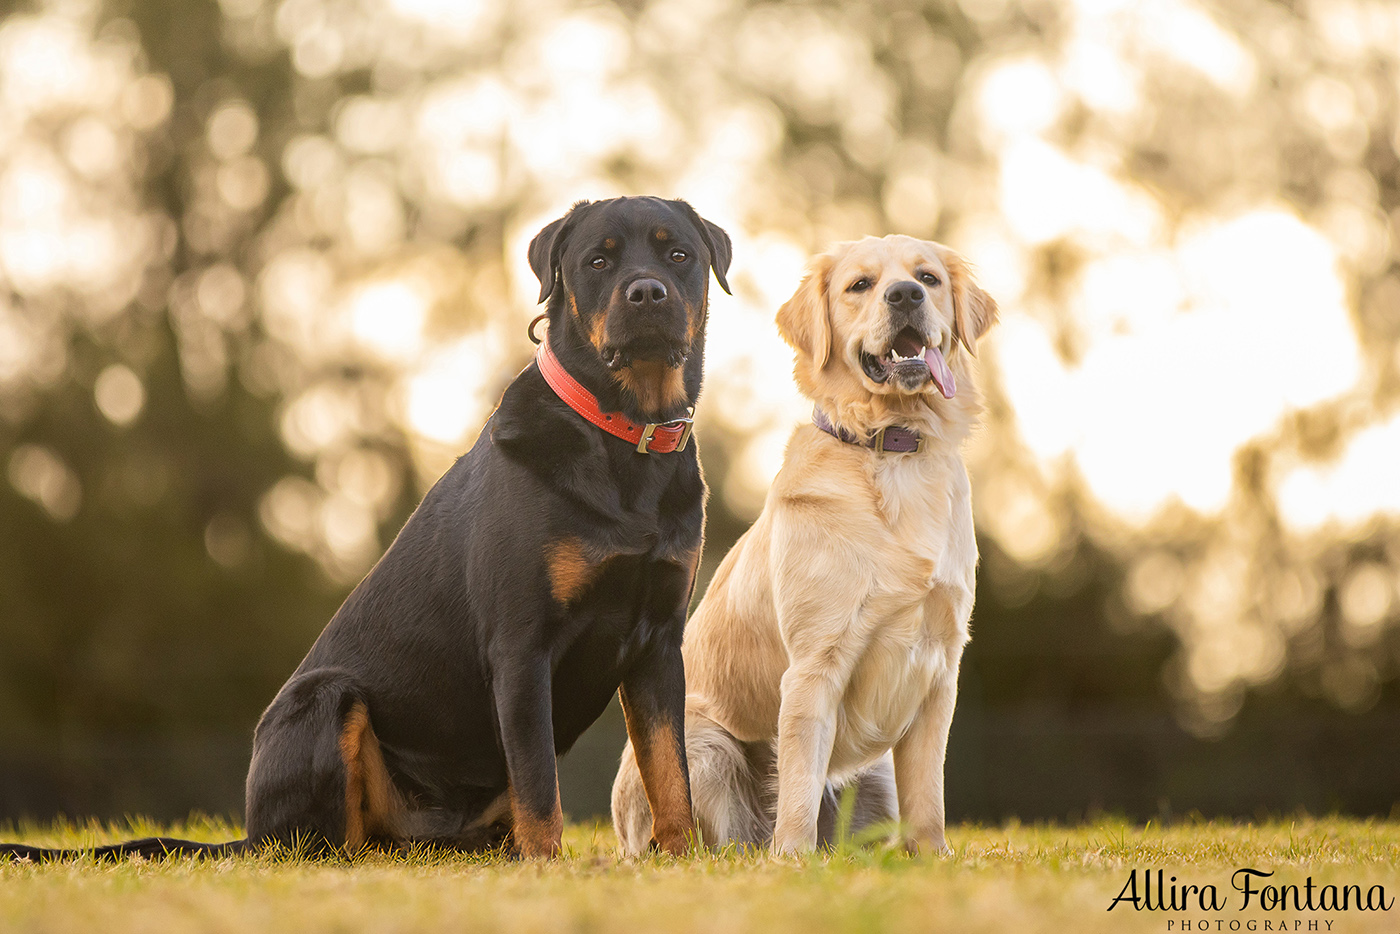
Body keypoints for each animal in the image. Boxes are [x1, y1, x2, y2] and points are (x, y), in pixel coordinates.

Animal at [2, 196, 733, 862]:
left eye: (678, 255)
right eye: (598, 261)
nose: (647, 291)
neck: (622, 440)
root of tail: (249, 833)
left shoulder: (658, 644)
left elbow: (669, 770)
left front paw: (679, 856)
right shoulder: (522, 644)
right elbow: (539, 783)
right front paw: (548, 866)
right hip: (326, 698)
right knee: (327, 842)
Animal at [613, 233, 996, 856]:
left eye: (929, 278)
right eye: (860, 285)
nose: (906, 295)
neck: (892, 447)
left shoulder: (940, 669)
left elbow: (928, 797)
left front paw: (933, 858)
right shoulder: (815, 664)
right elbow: (796, 787)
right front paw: (792, 858)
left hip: (875, 777)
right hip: (707, 746)